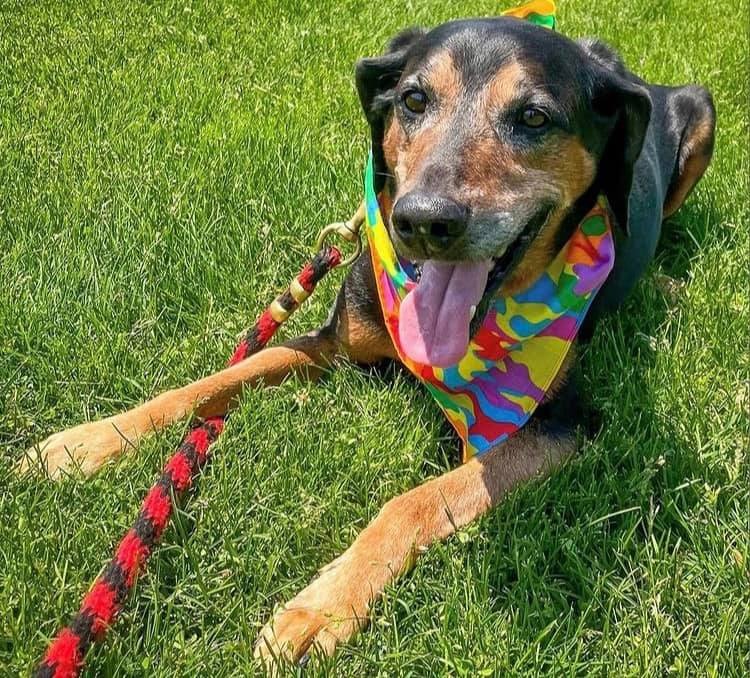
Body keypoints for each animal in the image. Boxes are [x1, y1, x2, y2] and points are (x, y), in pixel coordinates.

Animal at [20, 15, 720, 668]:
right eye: (412, 99)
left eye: (533, 116)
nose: (421, 221)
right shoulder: (325, 344)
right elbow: (214, 379)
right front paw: (89, 441)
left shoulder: (563, 425)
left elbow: (414, 502)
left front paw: (320, 609)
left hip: (703, 113)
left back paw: (666, 281)